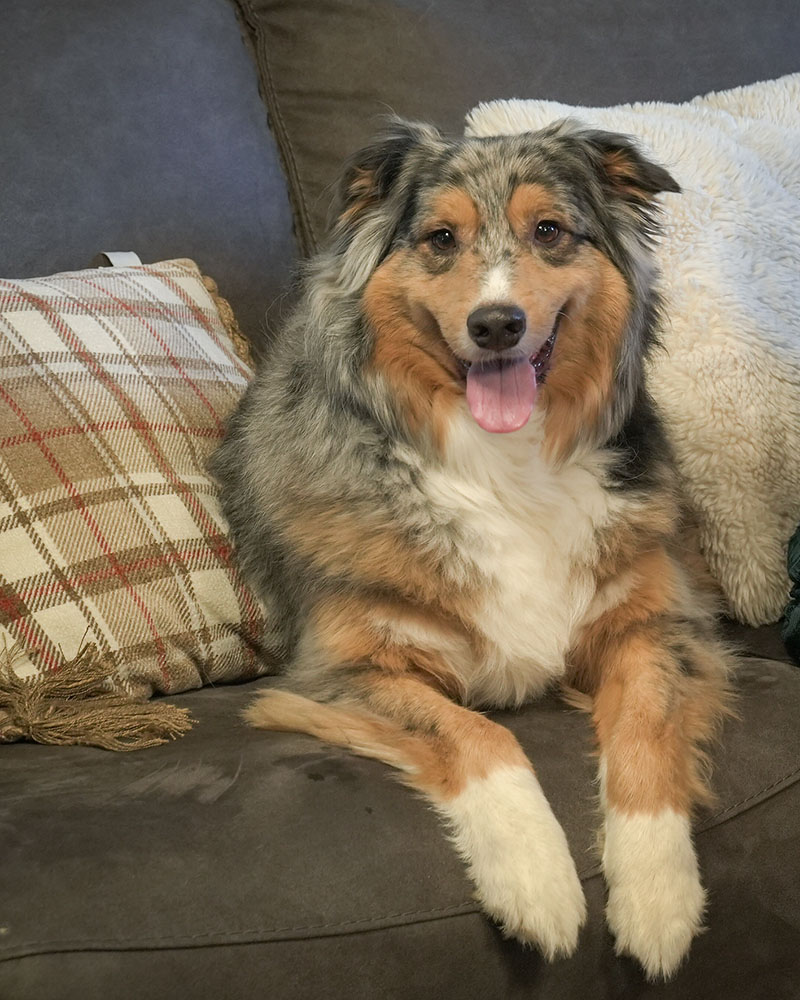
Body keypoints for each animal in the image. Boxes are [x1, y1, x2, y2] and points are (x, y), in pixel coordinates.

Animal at [211, 117, 732, 976]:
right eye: (440, 239)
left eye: (549, 231)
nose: (496, 325)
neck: (504, 462)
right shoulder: (338, 671)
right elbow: (478, 732)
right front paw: (536, 878)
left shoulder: (654, 625)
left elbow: (646, 728)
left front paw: (658, 893)